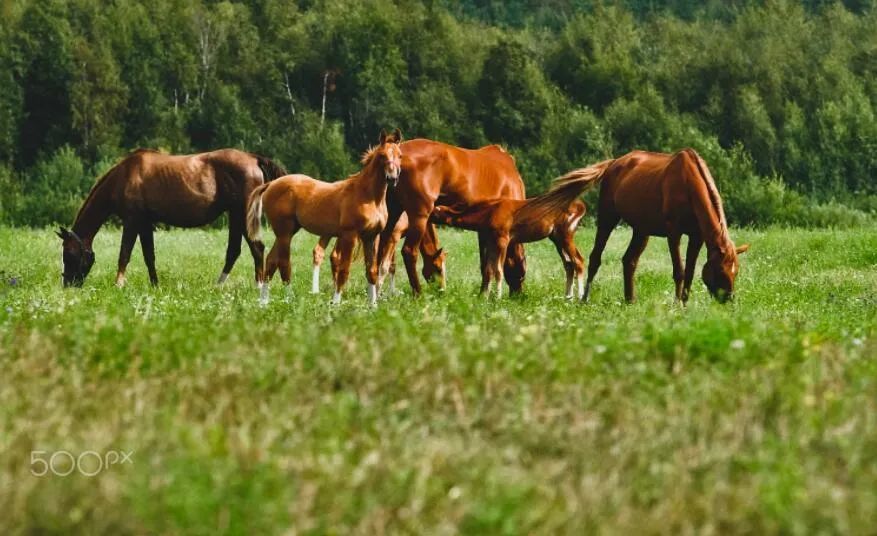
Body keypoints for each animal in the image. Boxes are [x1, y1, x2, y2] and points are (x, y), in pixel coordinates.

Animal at [55, 147, 288, 288]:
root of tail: (254, 159)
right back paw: (219, 285)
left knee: (256, 248)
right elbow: (149, 256)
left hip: (242, 215)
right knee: (235, 251)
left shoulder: (131, 221)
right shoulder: (144, 223)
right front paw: (155, 285)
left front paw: (118, 284)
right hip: (235, 215)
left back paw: (259, 286)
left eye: (69, 254)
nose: (68, 285)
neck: (124, 176)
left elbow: (124, 254)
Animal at [246, 129, 404, 306]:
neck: (367, 196)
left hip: (286, 232)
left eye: (400, 155)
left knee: (271, 261)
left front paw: (373, 305)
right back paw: (289, 300)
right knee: (284, 263)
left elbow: (371, 271)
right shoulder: (350, 235)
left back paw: (263, 302)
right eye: (382, 155)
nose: (392, 178)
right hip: (284, 233)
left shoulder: (370, 237)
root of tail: (270, 185)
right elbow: (344, 270)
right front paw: (335, 303)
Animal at [376, 138, 528, 298]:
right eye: (522, 274)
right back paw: (418, 293)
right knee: (409, 252)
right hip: (419, 216)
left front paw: (482, 294)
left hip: (393, 213)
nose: (517, 296)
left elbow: (485, 265)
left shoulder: (484, 230)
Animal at [428, 196, 584, 298]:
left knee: (579, 261)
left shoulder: (502, 240)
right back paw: (568, 298)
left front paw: (498, 297)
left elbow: (498, 270)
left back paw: (580, 298)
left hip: (565, 235)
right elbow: (488, 270)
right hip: (556, 239)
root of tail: (580, 206)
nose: (426, 219)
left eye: (435, 211)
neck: (488, 213)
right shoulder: (491, 242)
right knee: (569, 265)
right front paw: (484, 297)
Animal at [540, 149, 744, 304]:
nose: (729, 299)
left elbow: (690, 272)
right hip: (608, 218)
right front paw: (677, 304)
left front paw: (684, 304)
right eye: (721, 270)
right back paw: (584, 299)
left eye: (736, 271)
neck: (688, 184)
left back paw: (630, 300)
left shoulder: (696, 237)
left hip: (641, 231)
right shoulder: (674, 233)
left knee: (629, 261)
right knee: (595, 258)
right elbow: (679, 271)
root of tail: (614, 163)